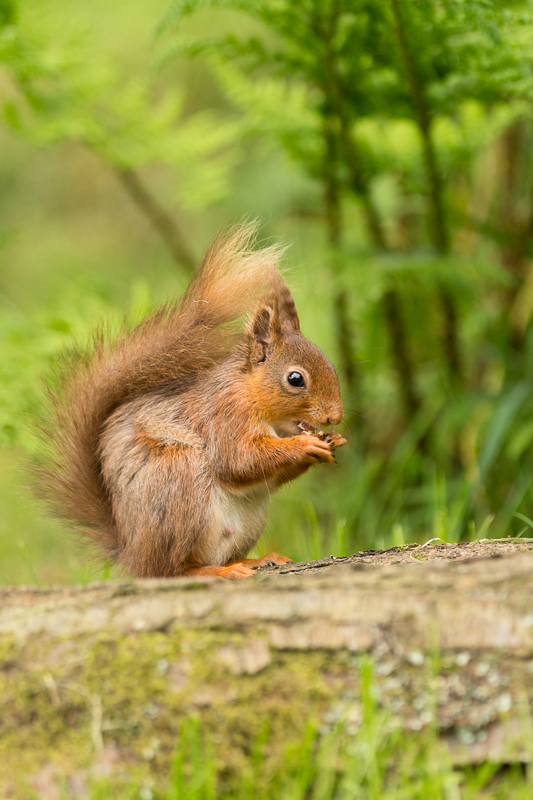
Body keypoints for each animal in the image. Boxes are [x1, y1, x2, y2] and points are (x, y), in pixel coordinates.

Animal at [40, 222, 346, 579]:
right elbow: (238, 461)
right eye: (295, 379)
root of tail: (133, 553)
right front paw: (305, 445)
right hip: (179, 483)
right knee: (173, 569)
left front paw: (333, 440)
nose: (336, 416)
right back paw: (215, 572)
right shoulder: (224, 413)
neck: (253, 397)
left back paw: (249, 561)